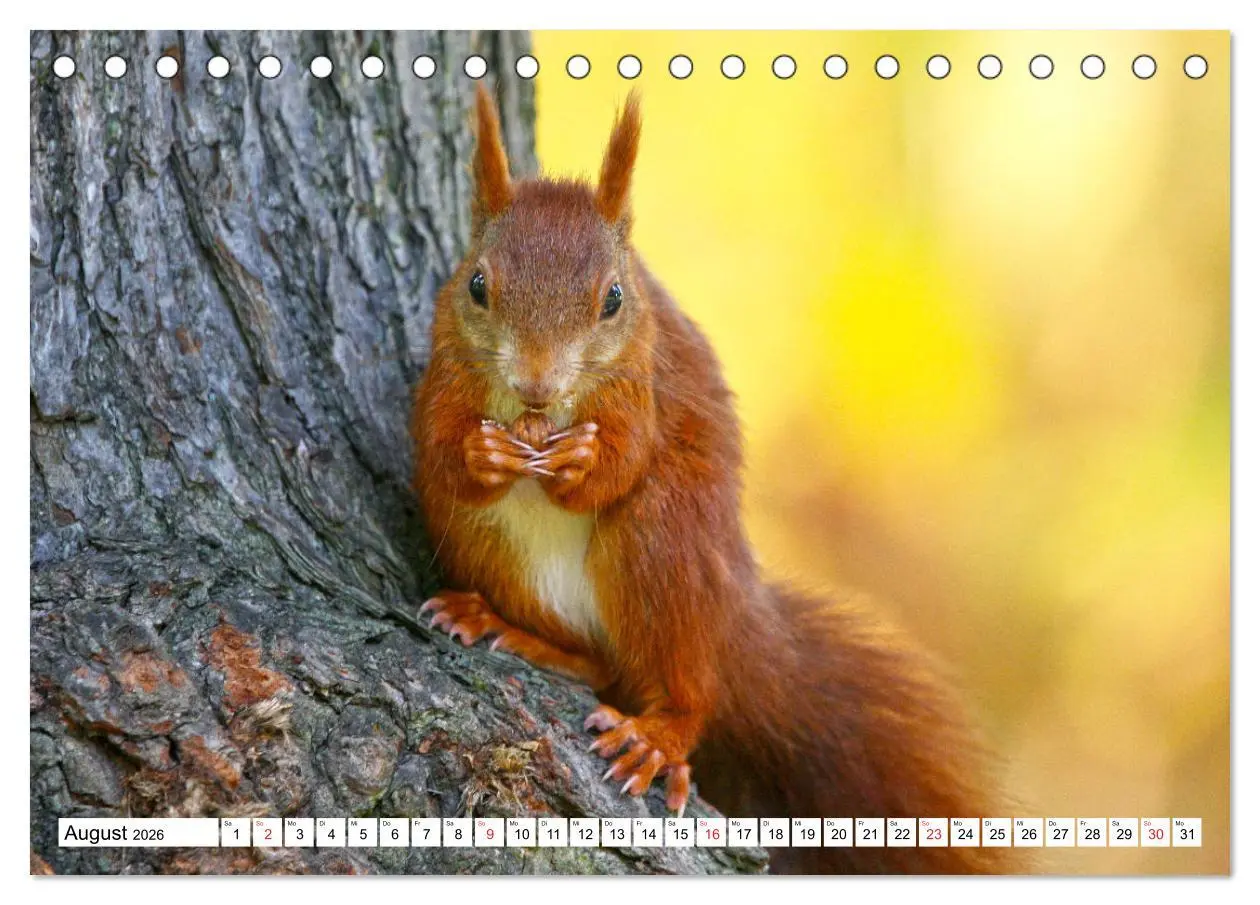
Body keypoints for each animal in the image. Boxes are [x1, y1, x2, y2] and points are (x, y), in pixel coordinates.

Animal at [410, 85, 1019, 874]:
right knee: (596, 661)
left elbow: (622, 463)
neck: (538, 418)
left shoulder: (642, 382)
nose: (536, 385)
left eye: (613, 299)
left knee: (686, 687)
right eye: (478, 285)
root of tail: (731, 620)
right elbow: (435, 444)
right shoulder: (444, 368)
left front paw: (581, 463)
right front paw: (483, 455)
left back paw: (658, 735)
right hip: (482, 544)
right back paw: (502, 625)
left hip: (664, 544)